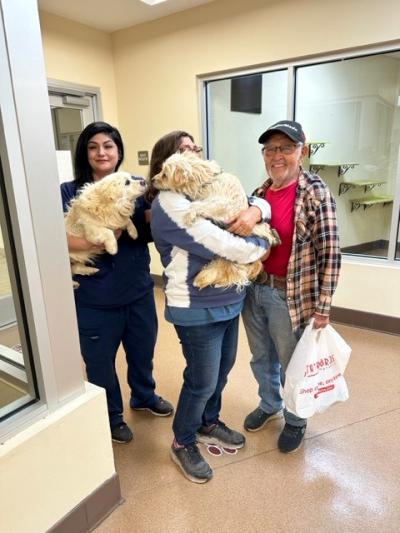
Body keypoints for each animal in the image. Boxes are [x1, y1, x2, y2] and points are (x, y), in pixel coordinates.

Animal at [152, 152, 280, 288]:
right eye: (160, 170)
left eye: (165, 175)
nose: (152, 179)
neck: (206, 180)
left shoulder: (222, 204)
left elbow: (197, 205)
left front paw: (189, 215)